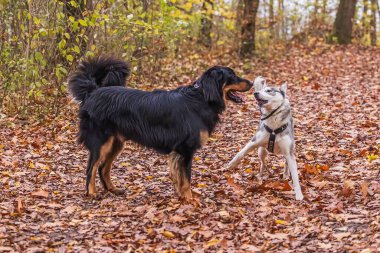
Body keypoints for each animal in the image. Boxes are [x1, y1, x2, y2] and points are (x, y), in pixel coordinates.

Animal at [68, 56, 252, 201]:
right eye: (232, 76)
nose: (251, 82)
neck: (202, 98)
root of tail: (93, 92)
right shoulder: (185, 150)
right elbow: (186, 178)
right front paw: (190, 199)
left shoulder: (178, 152)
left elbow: (179, 177)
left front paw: (182, 197)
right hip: (101, 141)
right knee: (91, 168)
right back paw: (92, 193)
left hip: (116, 142)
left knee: (102, 167)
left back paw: (112, 189)